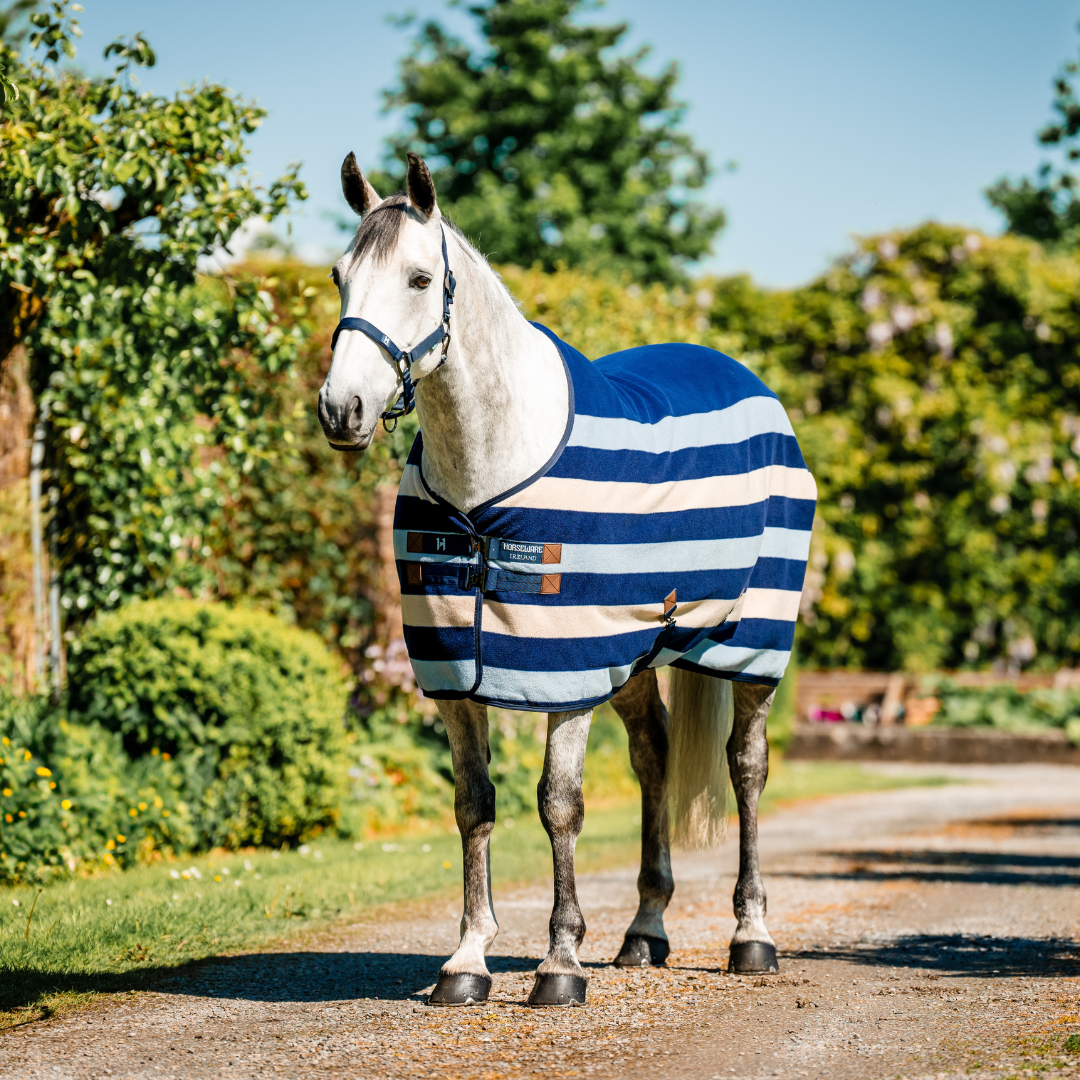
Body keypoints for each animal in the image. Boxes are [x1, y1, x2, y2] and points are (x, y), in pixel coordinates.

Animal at [318, 151, 816, 1007]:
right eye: (339, 276)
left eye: (419, 278)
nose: (341, 409)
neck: (487, 485)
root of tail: (747, 378)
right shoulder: (457, 675)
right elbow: (474, 804)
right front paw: (467, 961)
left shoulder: (565, 671)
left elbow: (559, 805)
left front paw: (558, 964)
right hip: (639, 652)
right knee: (653, 755)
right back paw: (644, 931)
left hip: (751, 645)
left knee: (747, 768)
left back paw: (751, 935)